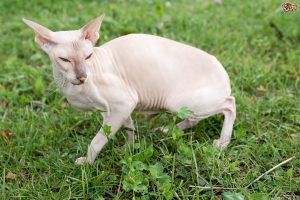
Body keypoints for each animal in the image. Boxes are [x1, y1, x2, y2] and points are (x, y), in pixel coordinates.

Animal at [22, 14, 234, 166]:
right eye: (65, 60)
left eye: (88, 56)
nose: (82, 76)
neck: (71, 86)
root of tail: (224, 72)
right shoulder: (112, 109)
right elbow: (128, 127)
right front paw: (129, 149)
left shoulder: (123, 103)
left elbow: (98, 140)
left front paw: (87, 163)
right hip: (185, 106)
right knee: (194, 118)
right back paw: (167, 129)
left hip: (178, 102)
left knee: (229, 104)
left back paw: (222, 143)